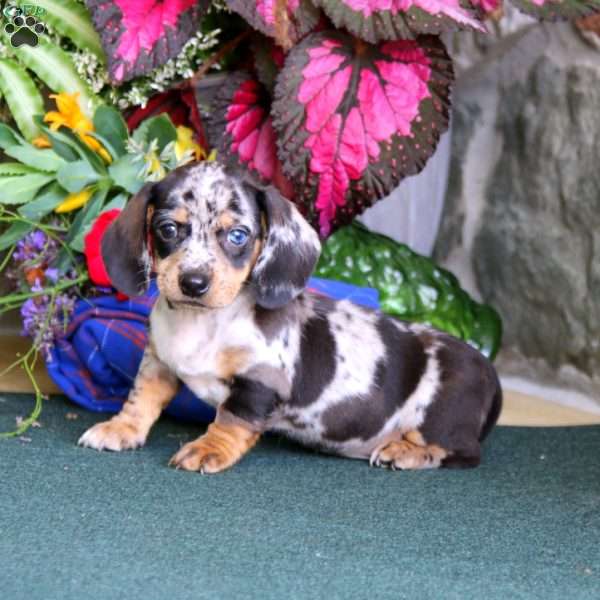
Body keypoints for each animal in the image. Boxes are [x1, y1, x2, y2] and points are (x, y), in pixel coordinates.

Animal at [79, 162, 502, 472]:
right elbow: (141, 398)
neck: (205, 324)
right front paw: (121, 428)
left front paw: (208, 449)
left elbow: (230, 420)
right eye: (168, 229)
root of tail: (490, 373)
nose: (194, 282)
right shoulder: (159, 363)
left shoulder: (259, 381)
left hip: (440, 416)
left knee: (461, 453)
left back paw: (407, 452)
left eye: (238, 235)